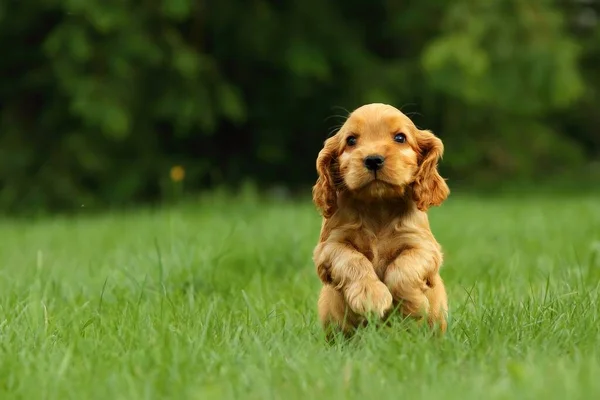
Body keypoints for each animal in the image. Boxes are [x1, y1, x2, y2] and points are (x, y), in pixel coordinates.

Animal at [312, 102, 448, 338]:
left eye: (400, 138)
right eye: (351, 140)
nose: (373, 159)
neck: (378, 206)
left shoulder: (424, 246)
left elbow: (403, 268)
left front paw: (412, 305)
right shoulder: (329, 247)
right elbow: (353, 260)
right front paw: (370, 296)